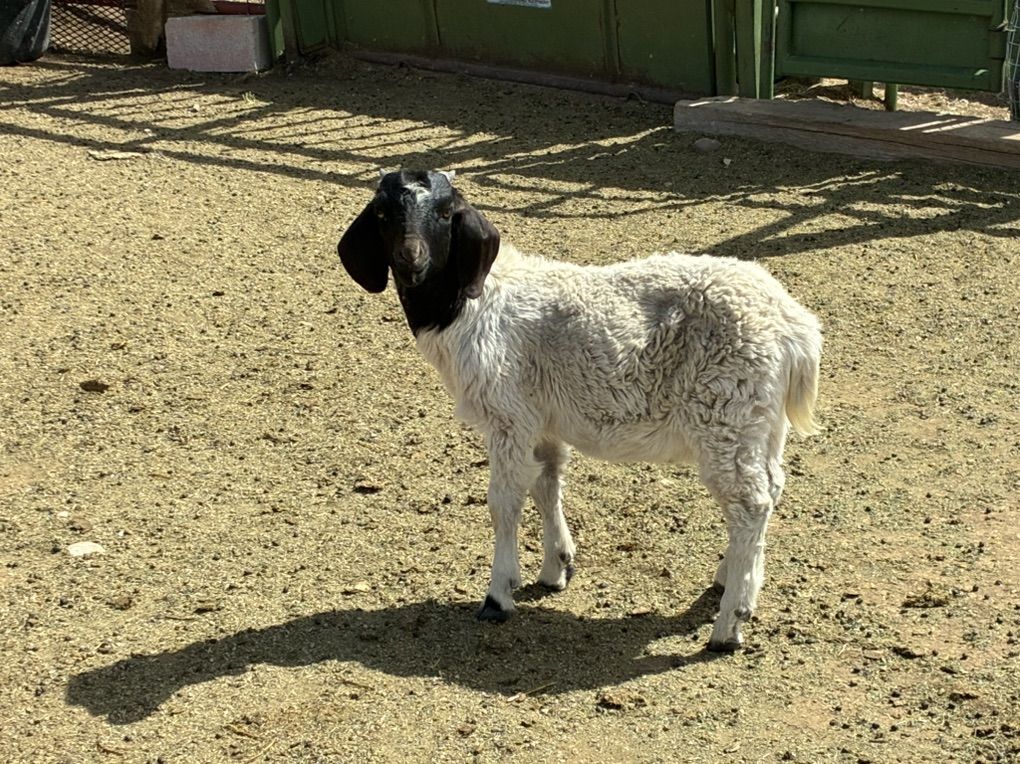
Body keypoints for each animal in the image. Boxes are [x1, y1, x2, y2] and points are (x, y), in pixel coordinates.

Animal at [337, 169, 822, 651]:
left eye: (444, 213)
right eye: (382, 213)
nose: (410, 260)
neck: (473, 303)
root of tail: (795, 328)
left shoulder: (508, 415)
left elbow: (504, 501)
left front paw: (498, 595)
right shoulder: (541, 421)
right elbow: (546, 483)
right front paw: (556, 567)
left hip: (725, 413)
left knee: (750, 503)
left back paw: (729, 624)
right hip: (761, 421)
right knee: (772, 488)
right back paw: (732, 579)